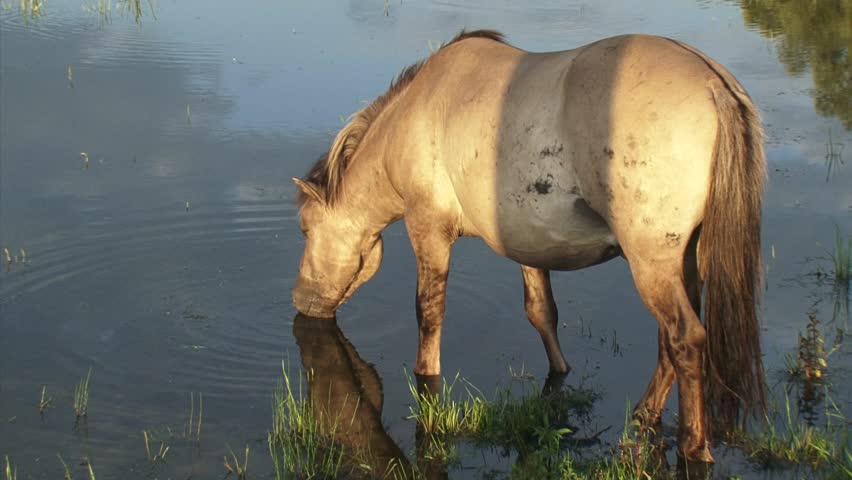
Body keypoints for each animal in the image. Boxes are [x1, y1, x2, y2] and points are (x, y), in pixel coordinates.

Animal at [291, 30, 766, 462]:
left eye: (305, 228)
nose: (300, 299)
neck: (414, 115)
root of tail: (713, 85)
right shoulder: (530, 244)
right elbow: (542, 313)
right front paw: (560, 374)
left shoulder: (427, 229)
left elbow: (429, 314)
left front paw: (426, 379)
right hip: (685, 260)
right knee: (669, 342)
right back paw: (645, 415)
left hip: (651, 262)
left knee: (685, 339)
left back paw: (694, 446)